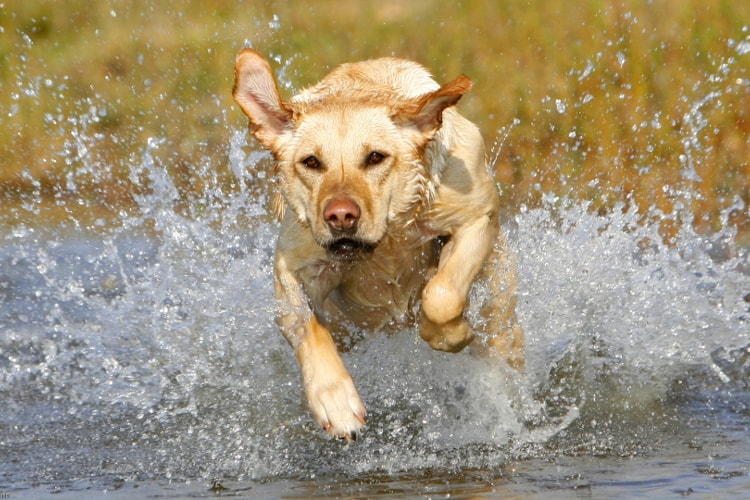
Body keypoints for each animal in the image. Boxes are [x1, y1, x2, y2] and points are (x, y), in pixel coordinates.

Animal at [234, 48, 524, 440]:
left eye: (375, 157)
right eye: (311, 162)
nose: (340, 216)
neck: (387, 241)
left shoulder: (475, 217)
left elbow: (442, 295)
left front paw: (453, 333)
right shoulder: (292, 263)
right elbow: (308, 328)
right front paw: (336, 402)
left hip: (500, 318)